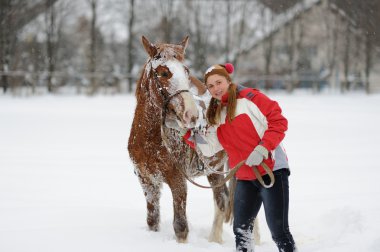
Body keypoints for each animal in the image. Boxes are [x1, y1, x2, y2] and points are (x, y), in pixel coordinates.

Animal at [127, 36, 229, 243]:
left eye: (186, 71)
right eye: (163, 72)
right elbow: (152, 220)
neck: (150, 140)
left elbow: (181, 226)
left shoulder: (178, 181)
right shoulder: (147, 181)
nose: (192, 115)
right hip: (215, 170)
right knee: (223, 200)